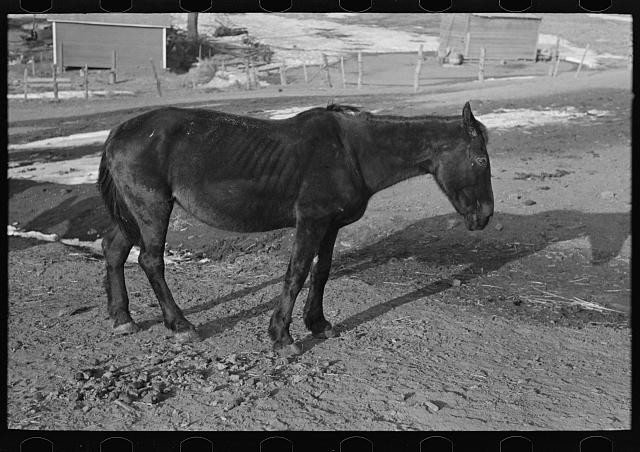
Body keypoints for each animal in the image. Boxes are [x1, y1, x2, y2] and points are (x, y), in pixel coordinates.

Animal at [97, 102, 494, 355]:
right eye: (480, 160)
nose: (486, 216)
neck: (351, 152)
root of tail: (118, 132)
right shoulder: (311, 221)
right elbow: (297, 273)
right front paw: (282, 337)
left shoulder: (330, 226)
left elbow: (321, 272)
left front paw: (317, 323)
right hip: (152, 209)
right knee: (150, 261)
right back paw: (180, 325)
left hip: (132, 214)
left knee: (114, 249)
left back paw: (122, 318)